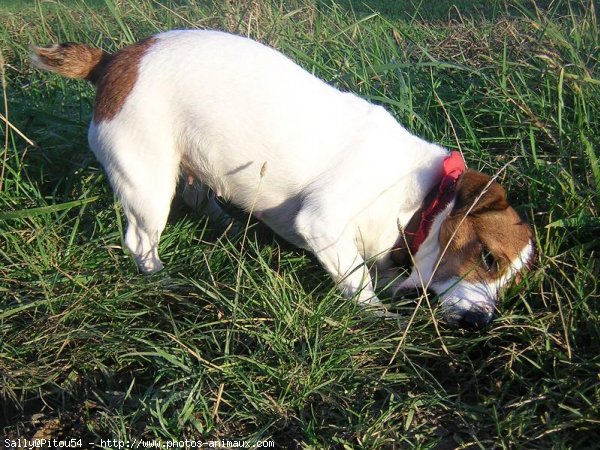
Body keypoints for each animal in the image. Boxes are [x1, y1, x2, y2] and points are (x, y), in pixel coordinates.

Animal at [31, 29, 536, 328]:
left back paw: (229, 226)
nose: (483, 321)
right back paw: (161, 279)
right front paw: (380, 320)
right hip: (147, 183)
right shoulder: (324, 222)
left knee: (199, 200)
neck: (420, 203)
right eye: (488, 258)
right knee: (140, 241)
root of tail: (113, 60)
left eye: (509, 283)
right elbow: (359, 283)